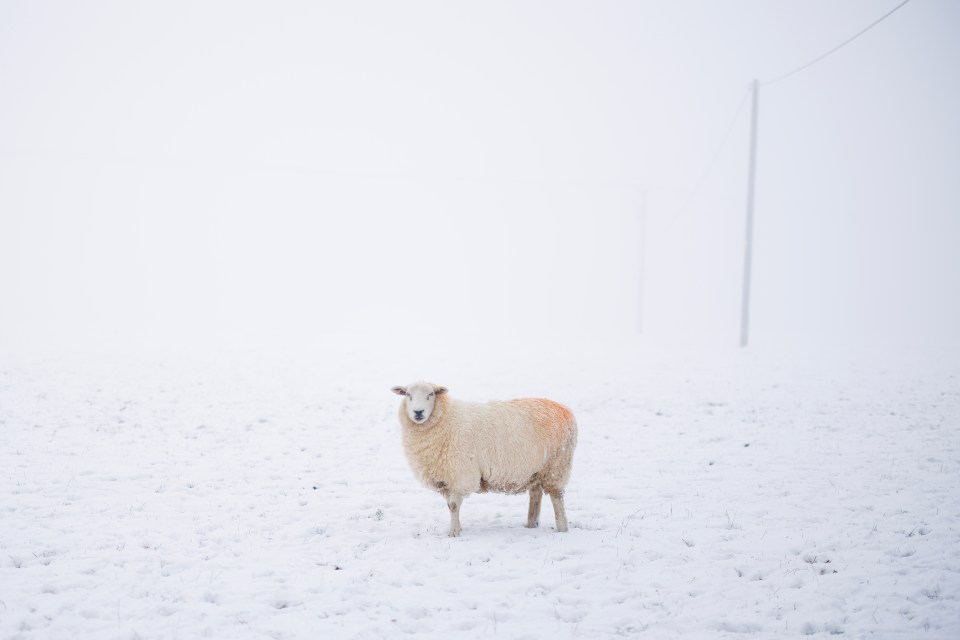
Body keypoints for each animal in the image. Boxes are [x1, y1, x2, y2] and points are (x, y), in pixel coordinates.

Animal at [390, 382, 576, 536]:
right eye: (408, 394)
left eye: (431, 394)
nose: (418, 412)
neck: (447, 418)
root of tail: (565, 410)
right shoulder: (448, 477)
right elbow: (450, 506)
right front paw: (457, 529)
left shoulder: (460, 474)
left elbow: (454, 505)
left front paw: (454, 533)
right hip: (535, 470)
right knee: (535, 494)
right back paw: (531, 524)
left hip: (556, 466)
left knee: (557, 498)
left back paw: (562, 528)